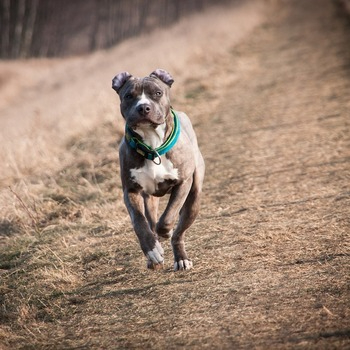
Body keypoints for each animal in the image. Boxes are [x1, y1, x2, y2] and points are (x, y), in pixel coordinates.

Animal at [111, 69, 205, 270]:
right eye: (129, 96)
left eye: (157, 93)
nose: (143, 107)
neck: (152, 144)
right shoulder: (130, 191)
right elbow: (139, 222)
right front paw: (152, 250)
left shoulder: (183, 183)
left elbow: (168, 217)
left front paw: (165, 232)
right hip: (150, 198)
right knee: (151, 220)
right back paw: (154, 255)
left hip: (194, 197)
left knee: (178, 232)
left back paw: (181, 258)